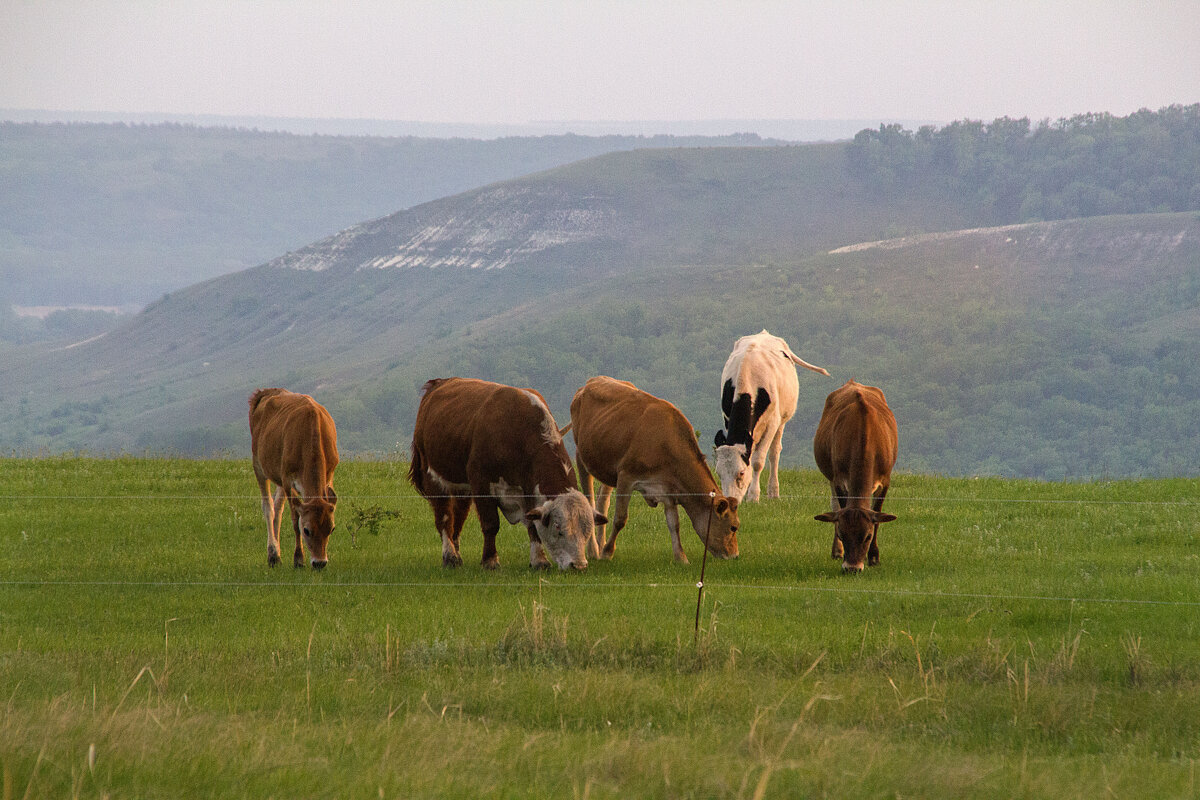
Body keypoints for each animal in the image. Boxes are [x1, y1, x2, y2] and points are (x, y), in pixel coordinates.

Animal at [249, 388, 340, 568]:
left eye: (331, 529)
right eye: (307, 530)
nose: (320, 563)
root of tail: (264, 392)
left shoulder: (329, 476)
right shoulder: (287, 480)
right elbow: (294, 520)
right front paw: (298, 559)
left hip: (278, 474)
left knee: (277, 508)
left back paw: (277, 555)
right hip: (258, 463)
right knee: (268, 507)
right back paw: (272, 555)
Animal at [408, 379, 604, 573]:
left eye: (587, 530)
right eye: (558, 528)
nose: (578, 565)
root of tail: (439, 383)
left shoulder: (528, 491)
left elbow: (533, 526)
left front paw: (539, 560)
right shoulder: (481, 482)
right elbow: (490, 524)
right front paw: (490, 560)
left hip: (462, 488)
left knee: (458, 518)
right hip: (433, 478)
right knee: (444, 519)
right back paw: (450, 556)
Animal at [564, 376, 734, 563]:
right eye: (733, 527)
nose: (735, 555)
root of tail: (591, 381)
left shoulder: (667, 488)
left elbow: (674, 524)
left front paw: (681, 558)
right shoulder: (626, 476)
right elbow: (620, 519)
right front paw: (608, 552)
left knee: (603, 503)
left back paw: (600, 546)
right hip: (581, 456)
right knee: (590, 501)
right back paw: (594, 550)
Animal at [705, 331, 830, 501]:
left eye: (741, 473)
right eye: (719, 473)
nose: (731, 500)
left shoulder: (772, 422)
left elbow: (758, 461)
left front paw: (753, 496)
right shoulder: (727, 418)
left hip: (782, 420)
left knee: (774, 453)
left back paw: (773, 492)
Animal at [811, 381, 897, 573]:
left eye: (868, 536)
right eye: (842, 534)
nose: (852, 568)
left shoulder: (885, 480)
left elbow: (877, 514)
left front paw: (873, 557)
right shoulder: (839, 479)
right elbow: (840, 509)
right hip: (830, 475)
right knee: (834, 506)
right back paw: (836, 552)